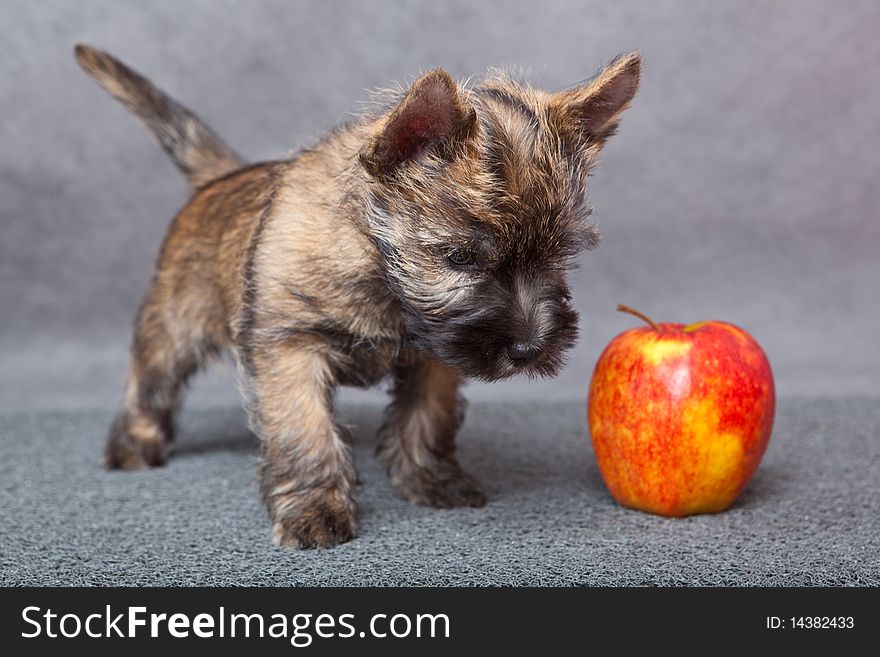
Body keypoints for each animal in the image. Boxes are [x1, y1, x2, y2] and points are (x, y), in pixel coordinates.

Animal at [75, 44, 640, 548]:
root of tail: (221, 179)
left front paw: (430, 478)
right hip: (174, 322)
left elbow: (426, 417)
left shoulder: (435, 357)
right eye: (460, 257)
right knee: (150, 379)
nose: (529, 350)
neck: (380, 275)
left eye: (558, 254)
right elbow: (304, 431)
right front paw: (315, 509)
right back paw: (134, 445)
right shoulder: (289, 349)